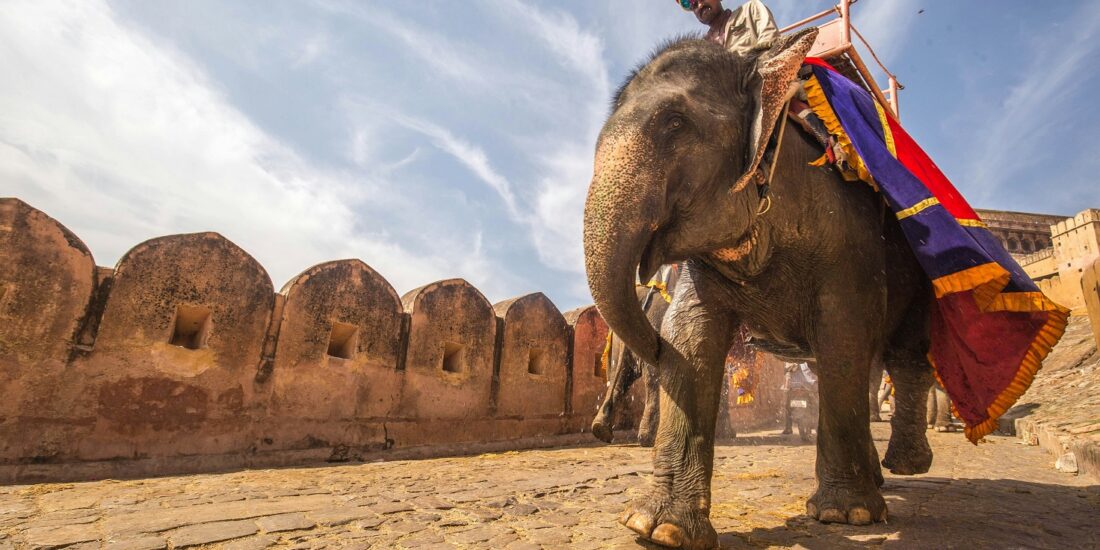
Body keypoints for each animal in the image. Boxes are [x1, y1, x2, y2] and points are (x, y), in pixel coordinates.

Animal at [582, 29, 936, 548]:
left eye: (675, 123)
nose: (651, 344)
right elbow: (690, 336)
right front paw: (657, 529)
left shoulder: (849, 236)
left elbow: (844, 335)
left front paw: (845, 516)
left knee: (903, 357)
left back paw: (905, 467)